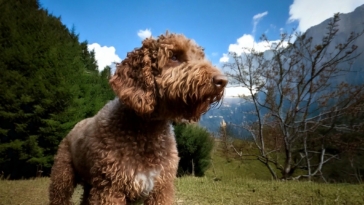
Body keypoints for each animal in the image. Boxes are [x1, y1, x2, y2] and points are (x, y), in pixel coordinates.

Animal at [47, 32, 225, 205]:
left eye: (200, 56)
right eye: (174, 56)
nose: (222, 81)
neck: (147, 131)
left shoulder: (161, 189)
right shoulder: (110, 190)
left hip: (91, 184)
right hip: (63, 176)